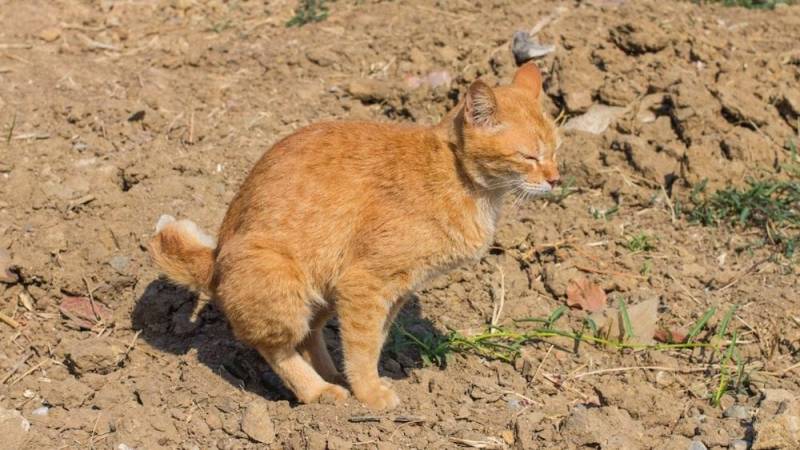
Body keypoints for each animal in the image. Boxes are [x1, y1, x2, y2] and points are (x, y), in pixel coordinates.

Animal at [152, 61, 564, 410]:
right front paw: (369, 395)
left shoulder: (393, 290)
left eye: (556, 150)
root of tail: (215, 257)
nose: (556, 179)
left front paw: (364, 383)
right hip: (282, 286)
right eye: (529, 156)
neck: (457, 176)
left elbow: (373, 341)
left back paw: (332, 375)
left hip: (322, 290)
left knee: (309, 336)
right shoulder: (366, 282)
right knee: (273, 347)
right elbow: (363, 347)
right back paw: (319, 392)